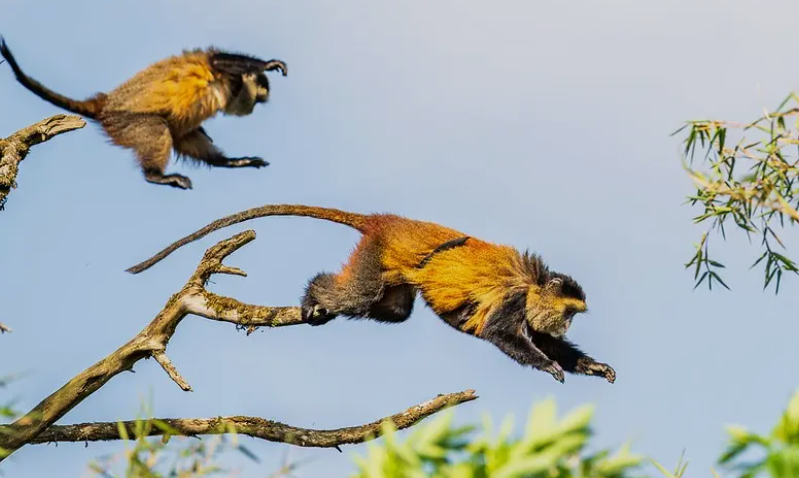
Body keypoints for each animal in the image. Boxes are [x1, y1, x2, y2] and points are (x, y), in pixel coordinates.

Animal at [0, 38, 287, 190]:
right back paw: (155, 175)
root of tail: (105, 104)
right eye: (257, 101)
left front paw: (233, 161)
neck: (230, 90)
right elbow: (216, 61)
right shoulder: (227, 76)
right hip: (124, 122)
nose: (252, 107)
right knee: (156, 128)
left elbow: (186, 135)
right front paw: (268, 64)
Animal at [125, 204, 616, 384]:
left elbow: (542, 338)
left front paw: (591, 365)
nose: (568, 323)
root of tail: (388, 221)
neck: (533, 285)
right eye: (571, 313)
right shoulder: (515, 299)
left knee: (395, 309)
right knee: (358, 297)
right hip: (374, 253)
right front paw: (549, 365)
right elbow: (502, 334)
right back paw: (314, 294)